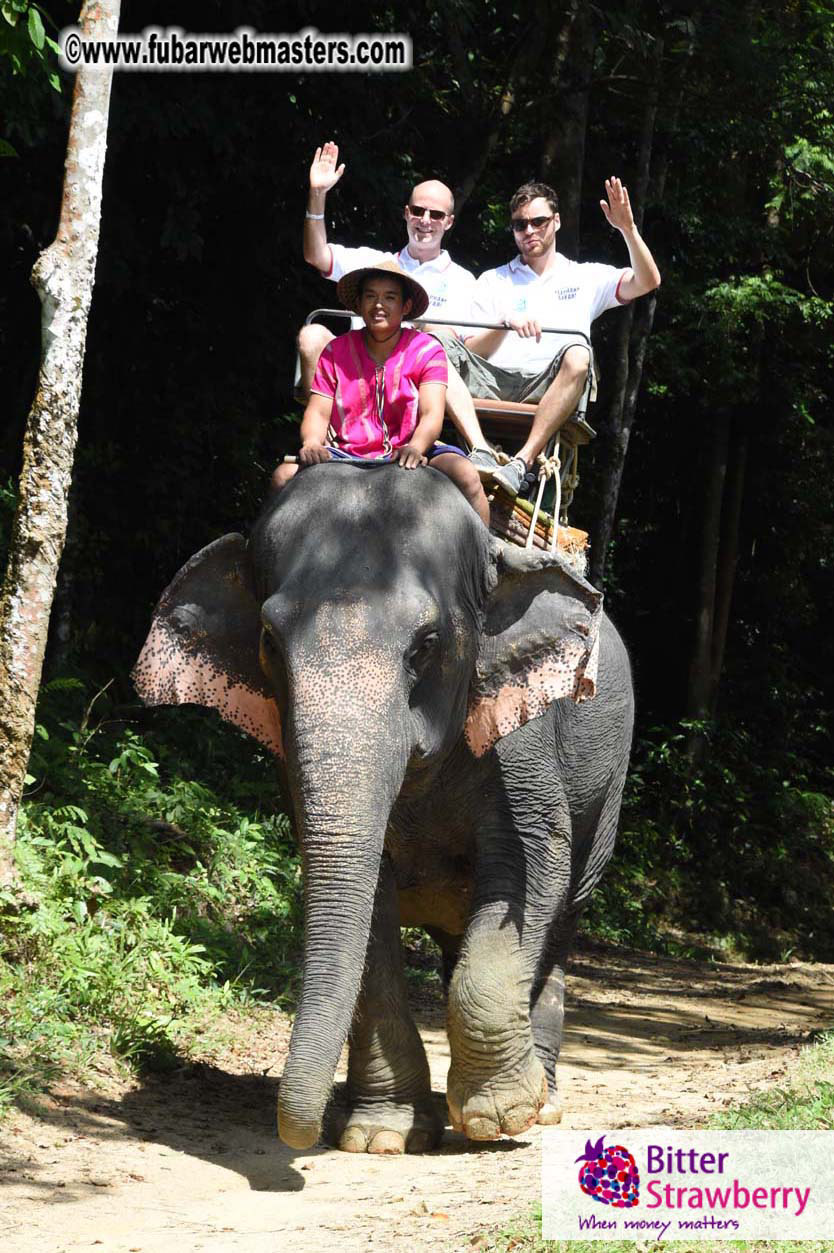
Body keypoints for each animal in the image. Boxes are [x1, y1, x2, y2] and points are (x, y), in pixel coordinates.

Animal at [133, 462, 634, 1154]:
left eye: (426, 644)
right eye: (268, 640)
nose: (297, 1135)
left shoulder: (521, 744)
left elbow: (533, 871)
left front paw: (499, 1118)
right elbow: (367, 905)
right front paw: (381, 1135)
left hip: (608, 790)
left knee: (562, 920)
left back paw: (546, 1102)